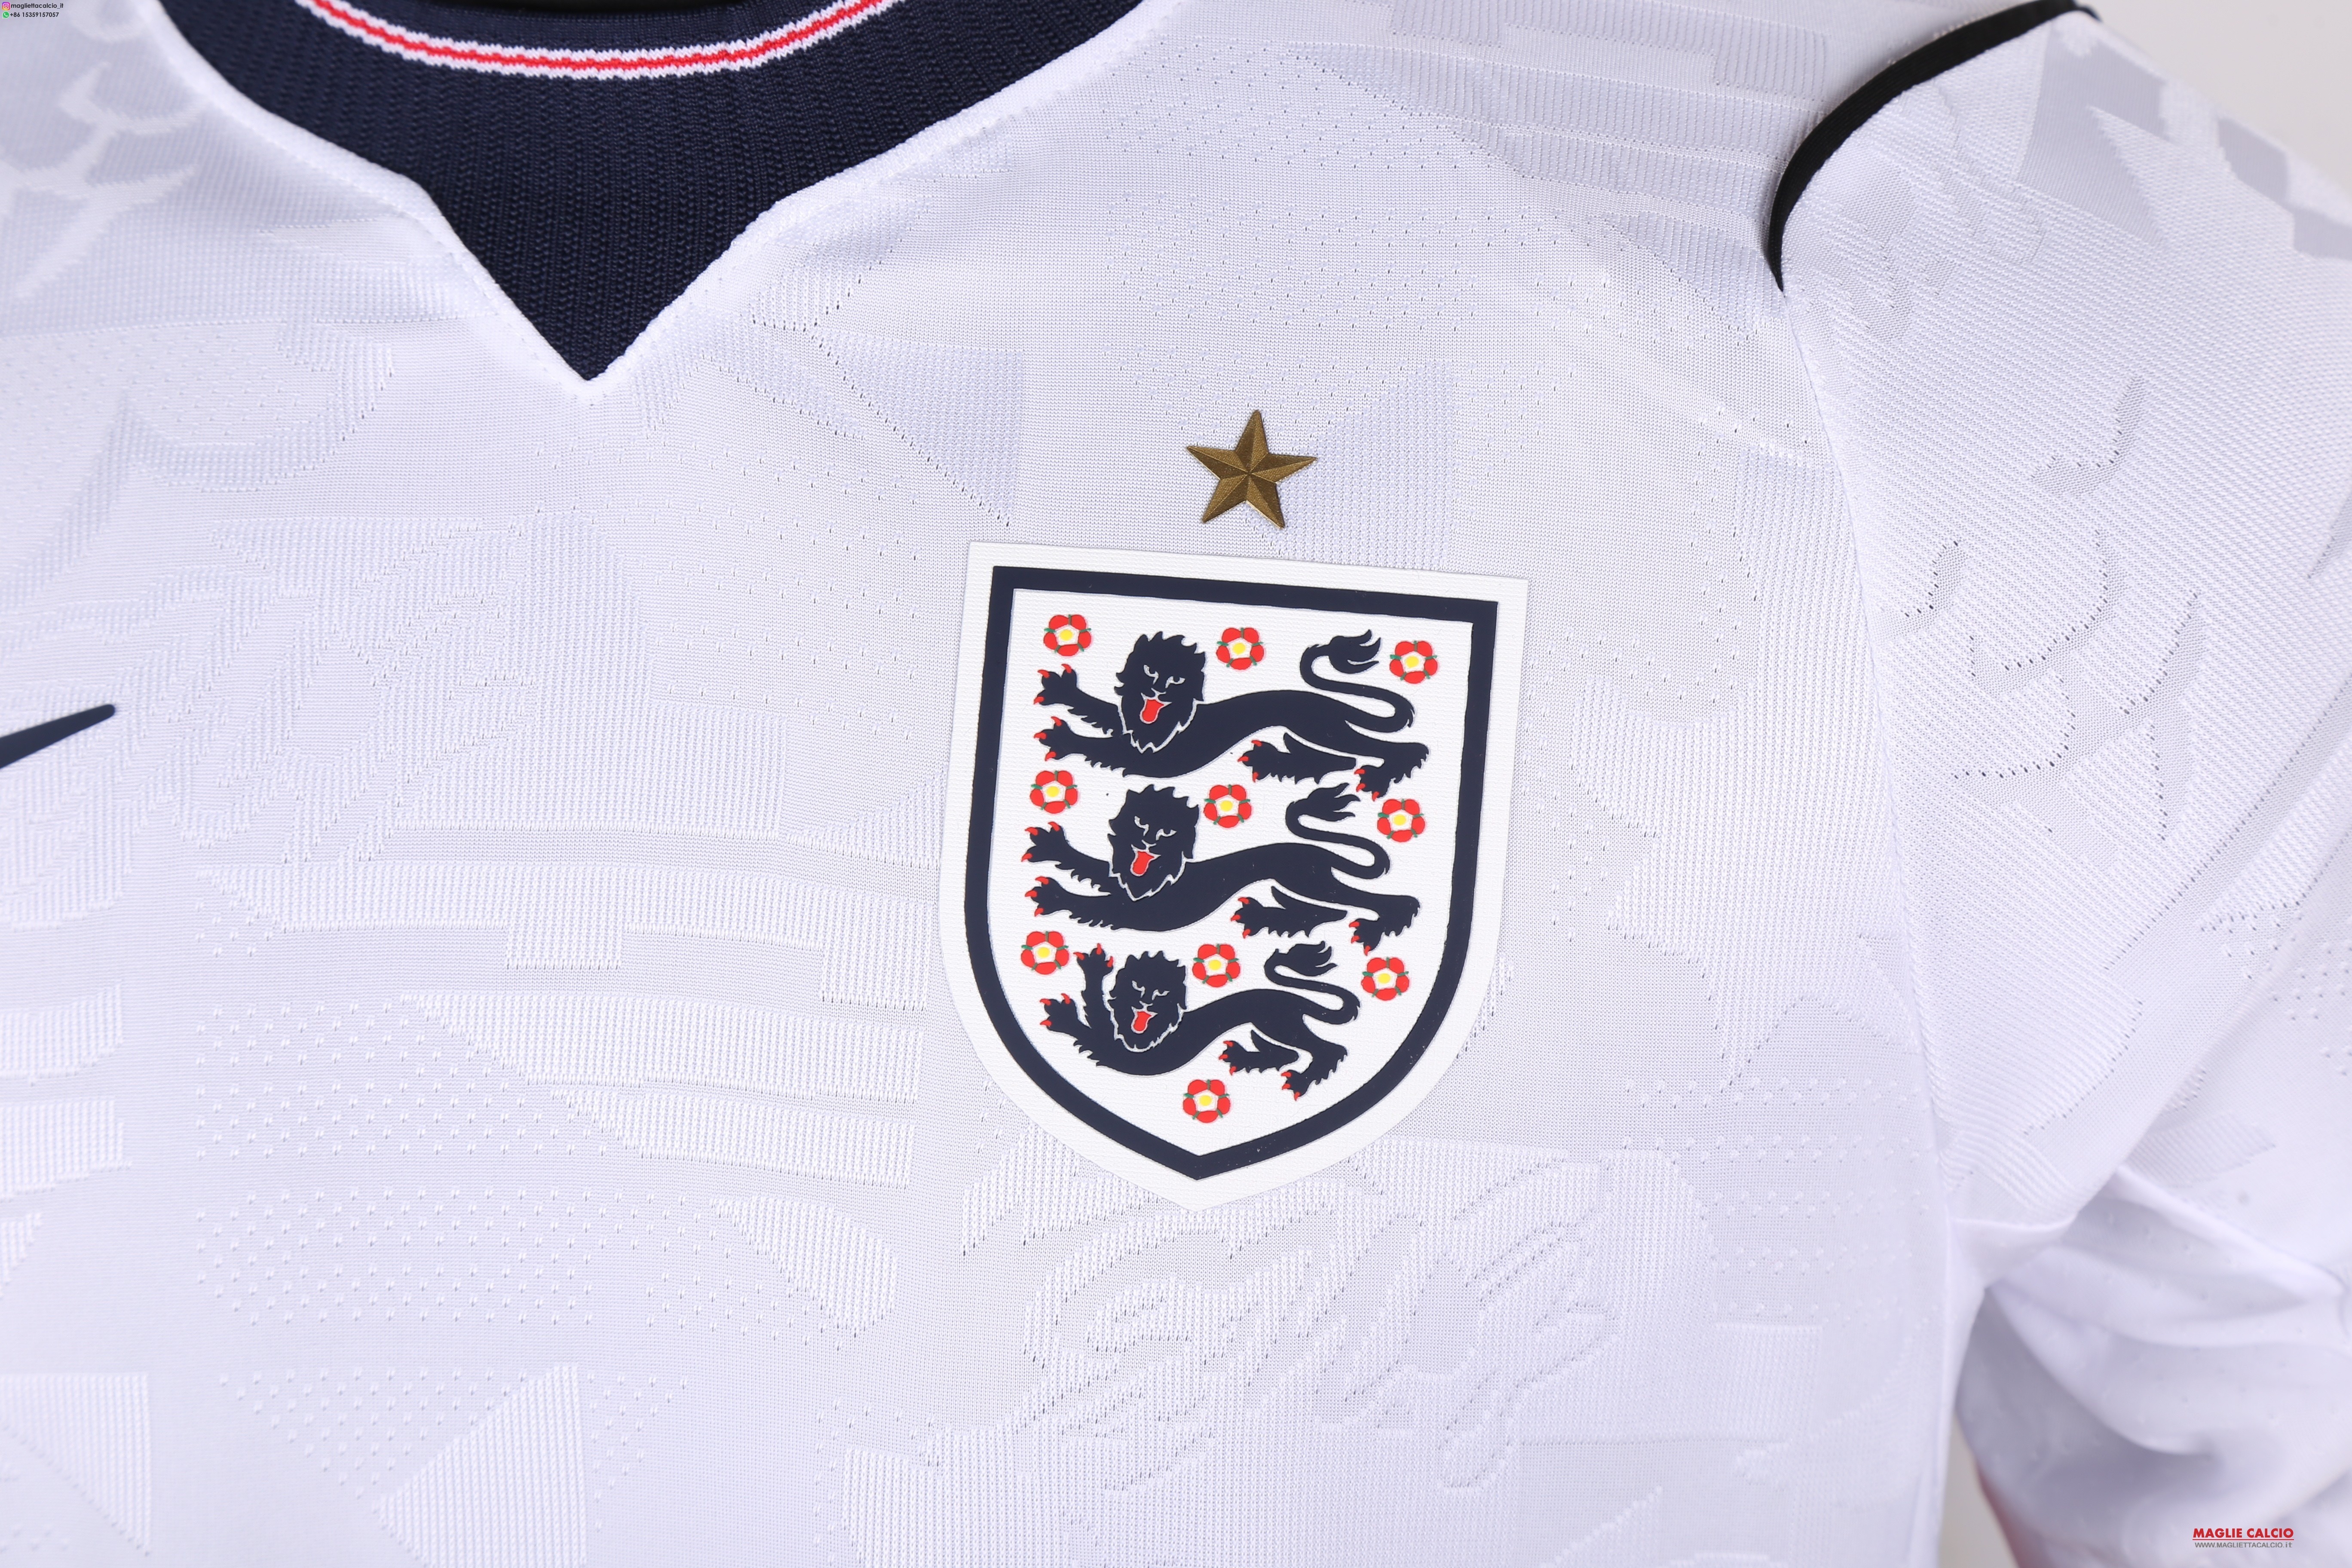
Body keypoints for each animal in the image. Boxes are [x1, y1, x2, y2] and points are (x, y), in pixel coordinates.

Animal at [1024, 782, 1419, 951]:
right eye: (1140, 822)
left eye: (1169, 832)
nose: (1149, 843)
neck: (1154, 876)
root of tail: (1318, 852)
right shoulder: (1124, 885)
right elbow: (1092, 869)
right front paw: (1053, 846)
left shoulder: (1136, 910)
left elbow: (1090, 904)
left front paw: (1054, 895)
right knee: (1332, 912)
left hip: (1306, 881)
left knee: (1383, 903)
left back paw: (1379, 927)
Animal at [1035, 629, 1431, 797]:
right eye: (1149, 671)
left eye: (1177, 680)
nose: (1158, 691)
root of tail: (1330, 702)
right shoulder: (1131, 729)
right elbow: (1102, 713)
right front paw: (1064, 690)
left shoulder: (1151, 756)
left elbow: (1099, 746)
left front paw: (1063, 737)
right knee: (1344, 761)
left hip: (1318, 728)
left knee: (1403, 750)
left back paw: (1380, 777)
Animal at [1038, 940, 1360, 1097]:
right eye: (1137, 986)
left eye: (1162, 992)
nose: (1146, 1001)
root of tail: (1293, 998)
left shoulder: (1129, 1051)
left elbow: (1094, 1021)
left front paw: (1064, 1014)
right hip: (1268, 1025)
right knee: (1291, 1053)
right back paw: (1246, 1057)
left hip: (1277, 1022)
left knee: (1330, 1050)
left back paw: (1301, 1082)